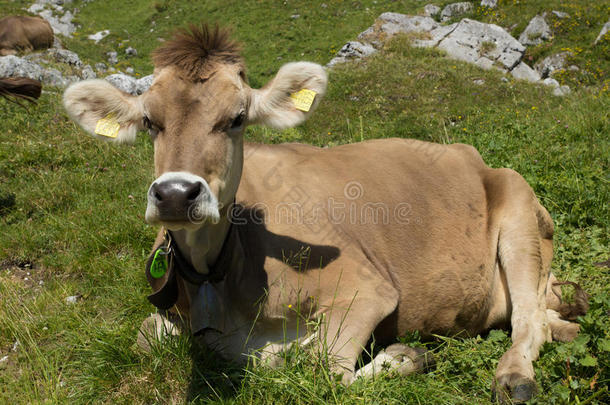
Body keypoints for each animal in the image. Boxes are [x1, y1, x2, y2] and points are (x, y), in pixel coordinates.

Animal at [61, 24, 584, 400]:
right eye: (150, 121)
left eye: (236, 119)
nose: (175, 194)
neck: (219, 271)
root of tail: (471, 155)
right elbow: (146, 337)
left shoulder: (367, 288)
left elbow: (320, 368)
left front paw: (404, 355)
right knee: (547, 318)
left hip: (519, 214)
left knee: (528, 322)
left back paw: (513, 377)